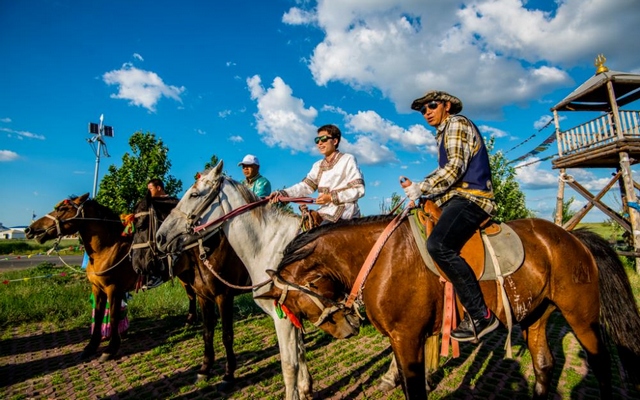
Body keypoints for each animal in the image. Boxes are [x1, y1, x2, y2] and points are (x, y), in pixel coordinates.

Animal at [24, 194, 198, 362]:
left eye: (62, 209)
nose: (30, 230)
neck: (108, 248)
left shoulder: (114, 289)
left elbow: (113, 317)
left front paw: (110, 349)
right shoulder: (98, 289)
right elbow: (98, 316)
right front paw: (91, 347)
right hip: (184, 274)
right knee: (191, 294)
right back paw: (190, 321)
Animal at [131, 192, 250, 382]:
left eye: (141, 226)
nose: (136, 265)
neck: (207, 249)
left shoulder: (223, 296)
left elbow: (227, 334)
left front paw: (229, 371)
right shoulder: (203, 297)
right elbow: (207, 332)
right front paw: (205, 367)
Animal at [156, 162, 314, 400]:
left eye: (194, 194)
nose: (160, 237)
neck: (273, 246)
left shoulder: (272, 314)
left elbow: (287, 364)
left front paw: (228, 376)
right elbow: (300, 352)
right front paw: (306, 388)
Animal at [258, 211, 640, 398]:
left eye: (298, 302)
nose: (347, 327)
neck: (381, 257)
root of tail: (573, 238)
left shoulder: (408, 338)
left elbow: (415, 390)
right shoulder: (400, 341)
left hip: (581, 316)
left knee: (600, 363)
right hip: (536, 315)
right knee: (544, 364)